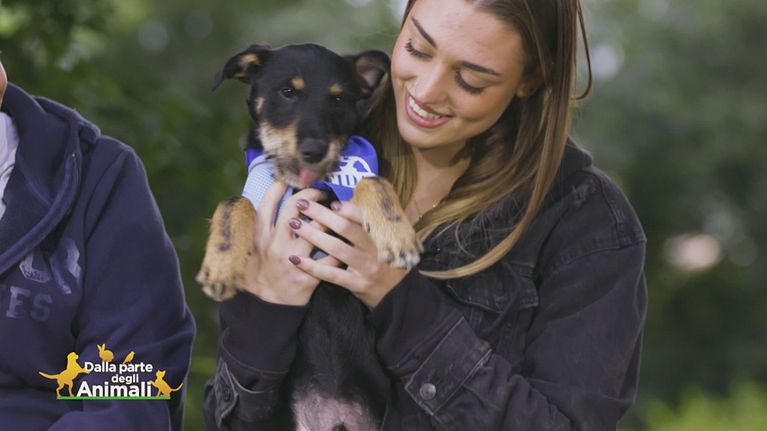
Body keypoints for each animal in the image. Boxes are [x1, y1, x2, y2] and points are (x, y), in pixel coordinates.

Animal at [196, 44, 423, 430]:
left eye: (339, 98)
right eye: (287, 92)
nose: (315, 150)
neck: (301, 184)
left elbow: (370, 179)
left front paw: (397, 235)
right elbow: (234, 201)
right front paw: (222, 264)